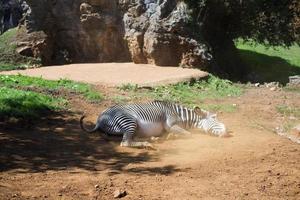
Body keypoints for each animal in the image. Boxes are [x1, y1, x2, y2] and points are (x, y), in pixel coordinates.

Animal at [79, 101, 227, 148]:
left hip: (132, 127)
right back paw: (147, 144)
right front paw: (172, 137)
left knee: (132, 138)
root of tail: (99, 119)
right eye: (214, 118)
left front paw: (169, 137)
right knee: (126, 142)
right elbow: (189, 134)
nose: (227, 132)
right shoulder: (171, 125)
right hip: (130, 121)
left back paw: (152, 139)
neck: (180, 115)